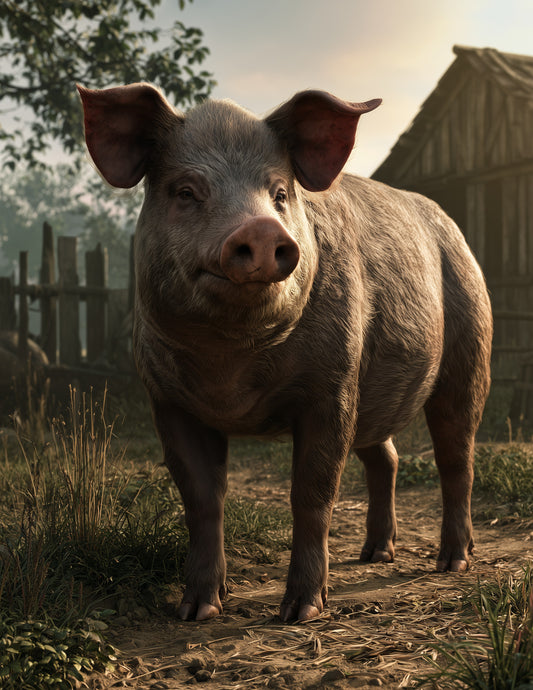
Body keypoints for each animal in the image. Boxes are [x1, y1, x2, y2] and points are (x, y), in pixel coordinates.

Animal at [78, 83, 492, 622]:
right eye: (186, 191)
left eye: (279, 193)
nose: (260, 229)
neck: (229, 366)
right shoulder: (166, 399)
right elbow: (202, 497)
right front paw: (198, 611)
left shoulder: (332, 386)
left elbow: (312, 493)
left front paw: (300, 613)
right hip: (373, 390)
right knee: (386, 457)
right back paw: (375, 555)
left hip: (470, 347)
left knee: (456, 455)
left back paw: (451, 562)